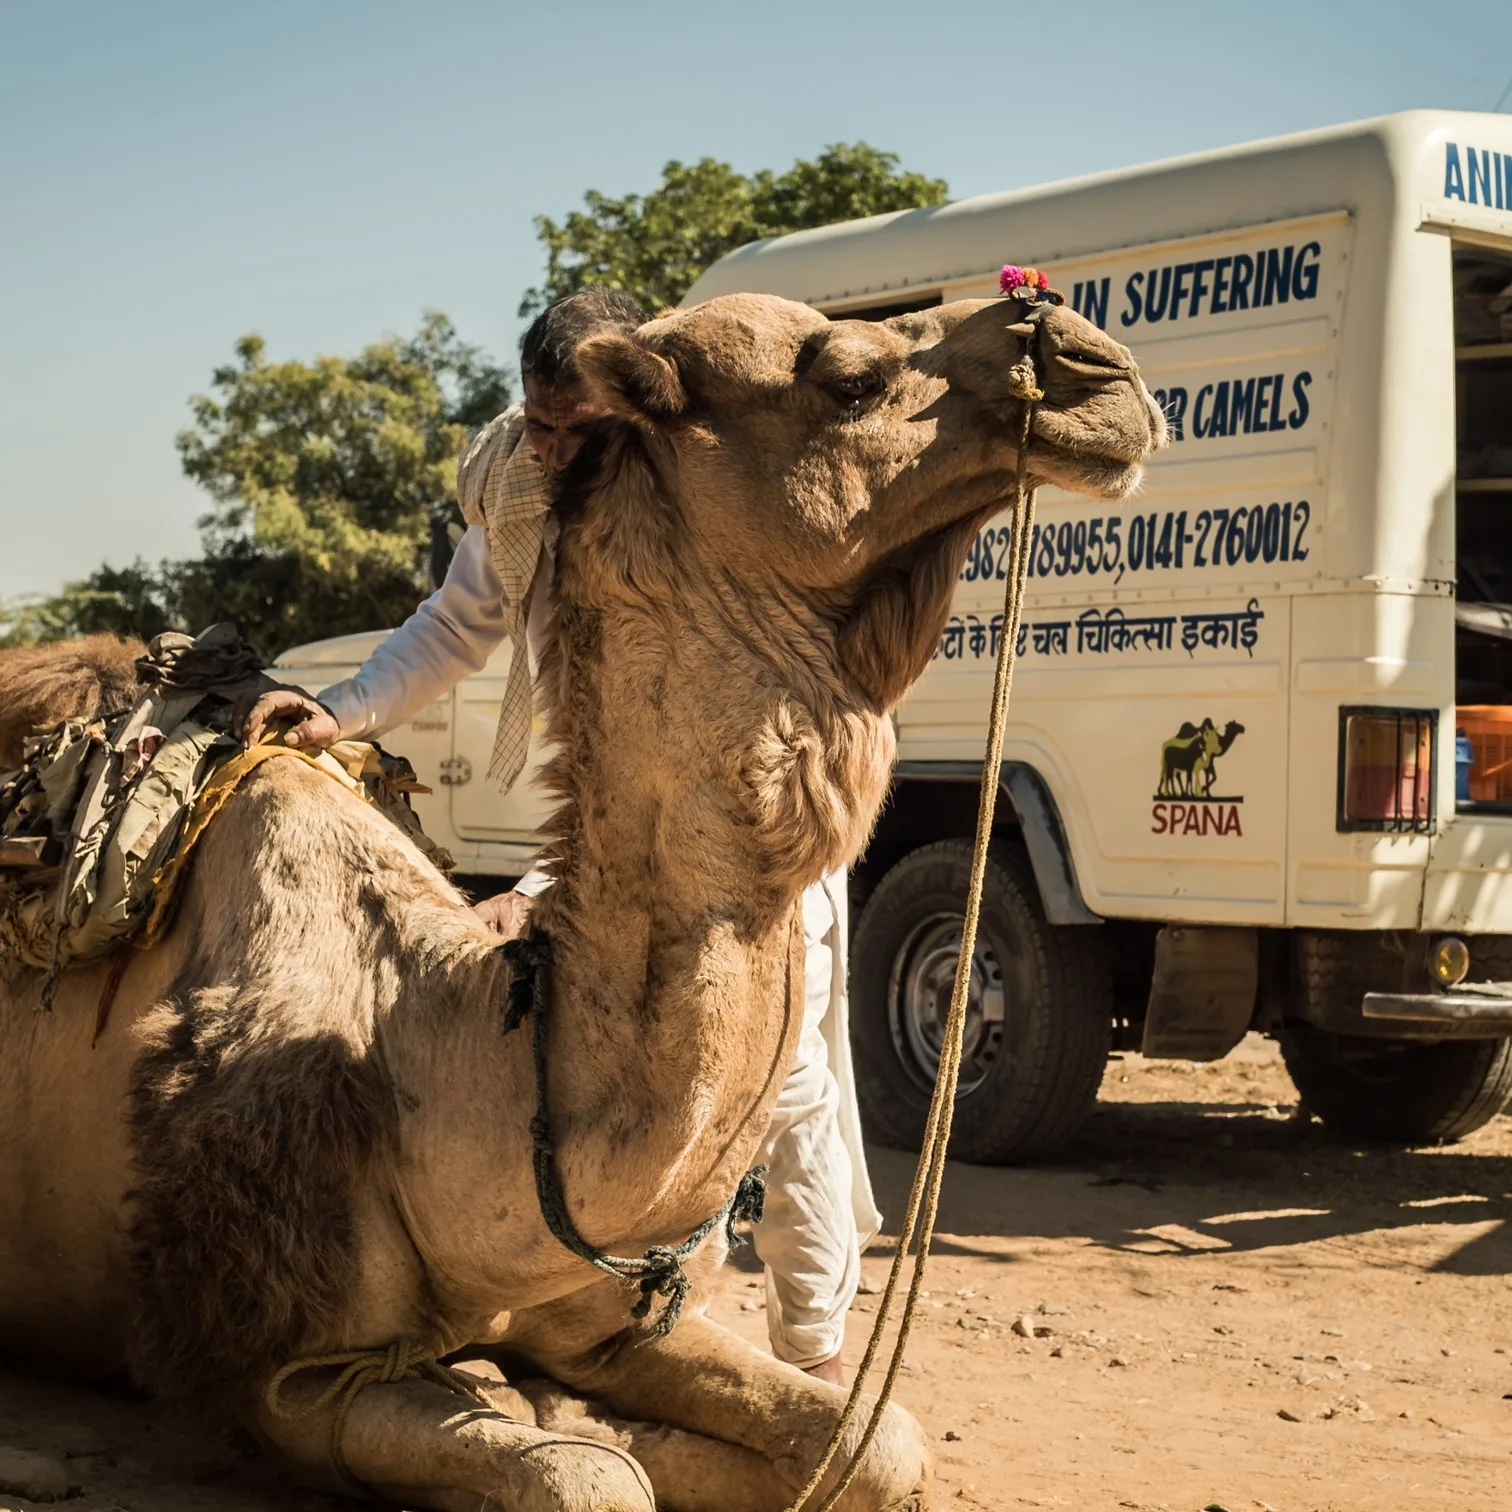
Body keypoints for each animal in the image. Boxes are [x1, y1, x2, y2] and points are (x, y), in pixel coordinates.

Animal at [0, 292, 1164, 1512]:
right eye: (846, 376)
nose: (1096, 364)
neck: (449, 1059)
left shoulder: (605, 1320)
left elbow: (875, 1442)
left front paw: (581, 1411)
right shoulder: (281, 1365)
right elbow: (591, 1480)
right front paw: (560, 1423)